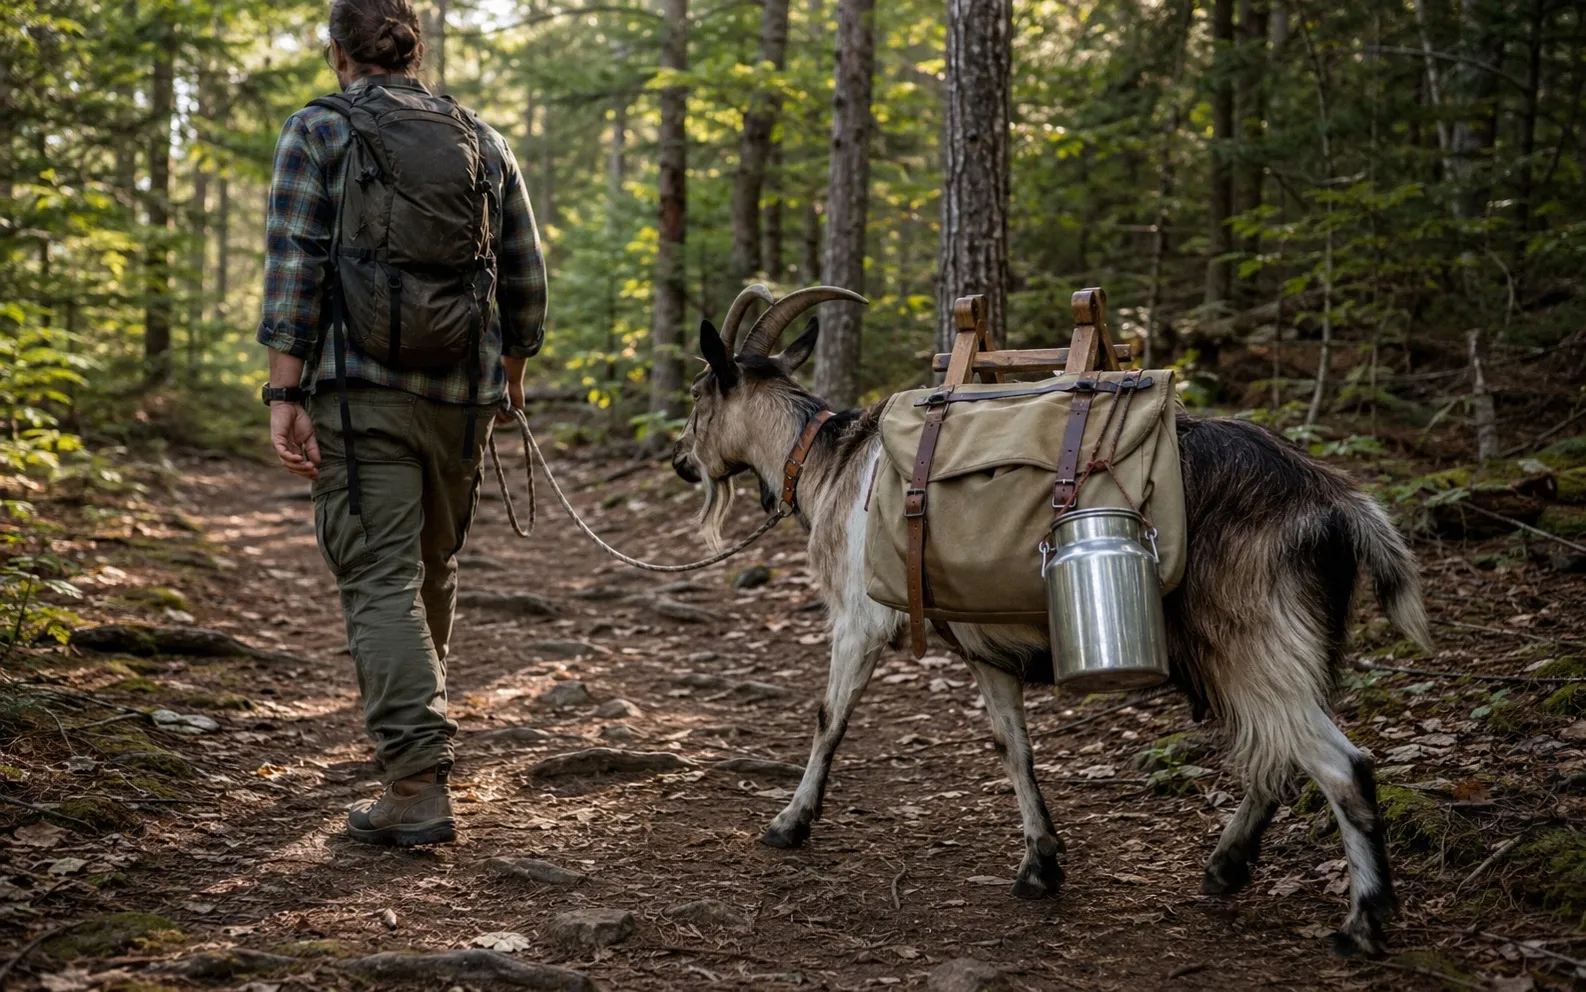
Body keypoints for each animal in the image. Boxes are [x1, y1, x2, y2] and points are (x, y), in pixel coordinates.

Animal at [670, 285, 1432, 958]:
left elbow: (829, 719)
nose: (679, 461)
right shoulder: (985, 649)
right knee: (1277, 755)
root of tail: (1332, 501)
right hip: (1285, 643)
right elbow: (1014, 746)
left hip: (1252, 637)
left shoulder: (860, 619)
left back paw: (1362, 923)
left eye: (699, 394)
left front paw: (789, 822)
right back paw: (1228, 866)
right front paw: (1041, 862)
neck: (829, 463)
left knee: (1340, 766)